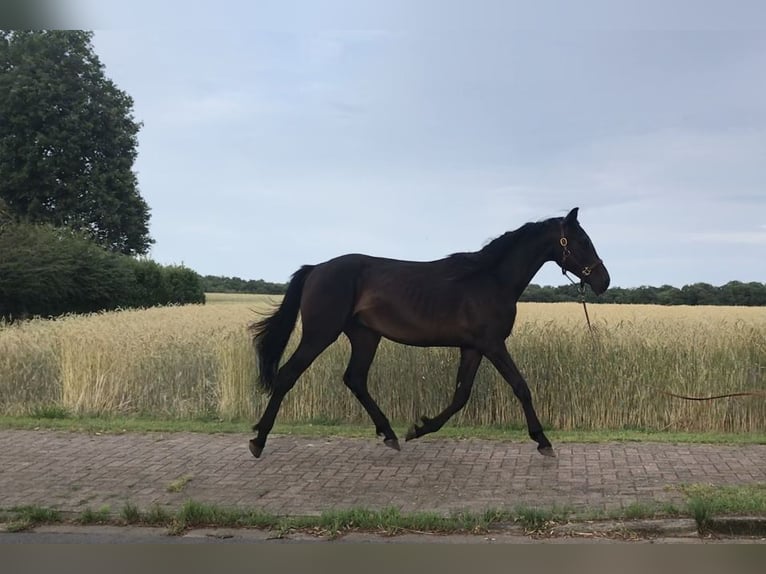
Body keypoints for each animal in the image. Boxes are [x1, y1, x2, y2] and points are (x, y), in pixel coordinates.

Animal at [250, 209, 612, 462]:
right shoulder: (493, 345)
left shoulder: (473, 348)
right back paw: (257, 440)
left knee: (355, 379)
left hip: (365, 336)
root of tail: (316, 268)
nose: (604, 280)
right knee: (287, 375)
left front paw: (418, 428)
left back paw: (390, 434)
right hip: (320, 333)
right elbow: (520, 387)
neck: (490, 279)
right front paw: (543, 441)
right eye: (582, 241)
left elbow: (460, 396)